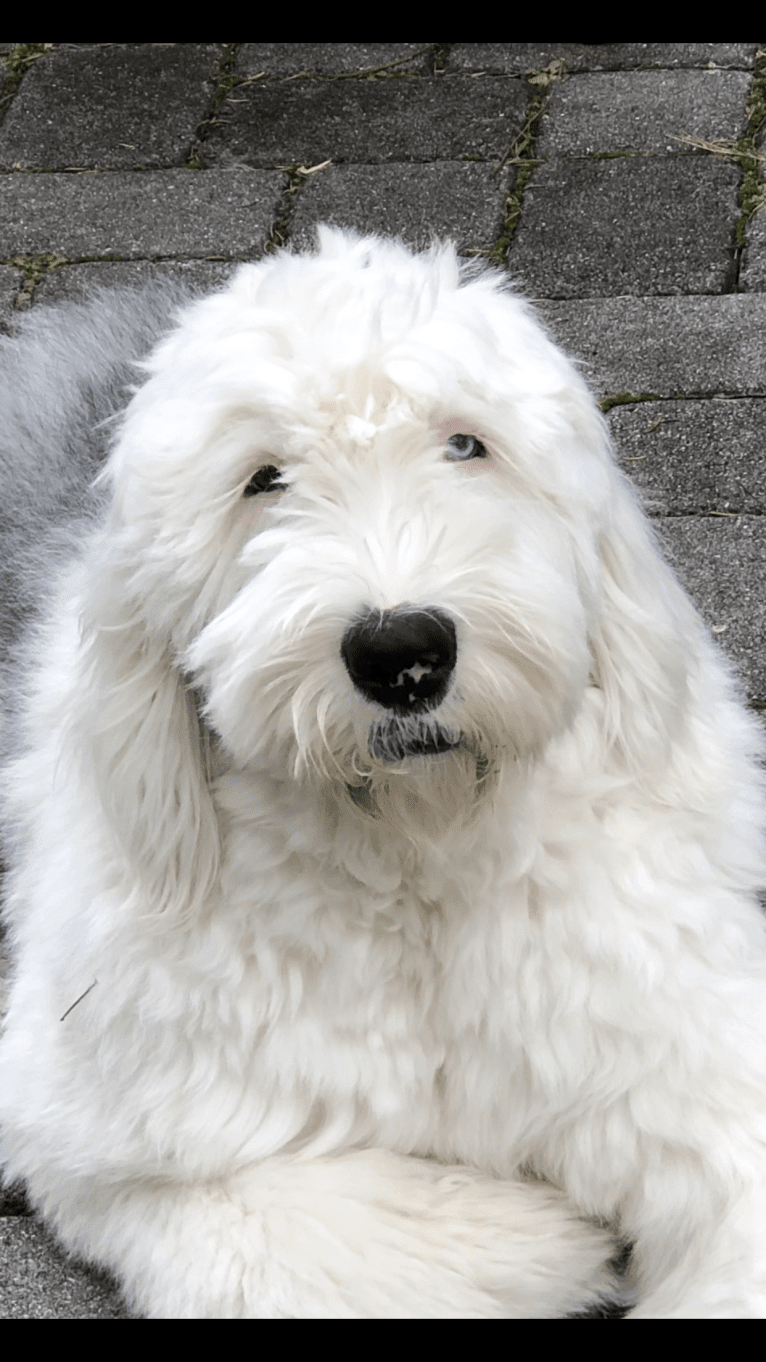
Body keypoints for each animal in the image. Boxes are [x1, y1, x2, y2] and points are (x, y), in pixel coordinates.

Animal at [1, 228, 763, 1312]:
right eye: (263, 478)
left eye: (465, 444)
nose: (402, 652)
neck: (418, 855)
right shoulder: (98, 1135)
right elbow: (346, 1238)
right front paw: (541, 1239)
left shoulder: (689, 1060)